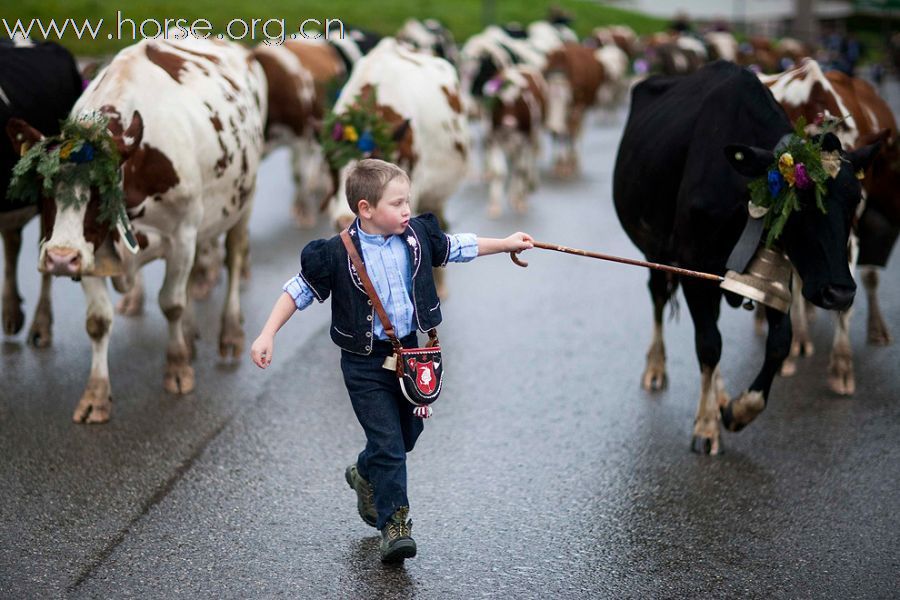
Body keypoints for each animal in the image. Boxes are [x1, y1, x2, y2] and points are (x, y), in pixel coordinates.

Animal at [612, 61, 880, 454]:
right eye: (798, 204)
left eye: (855, 199)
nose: (840, 293)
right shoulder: (692, 263)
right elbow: (709, 345)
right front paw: (706, 427)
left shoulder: (773, 275)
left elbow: (779, 343)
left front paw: (737, 410)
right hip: (653, 249)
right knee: (660, 298)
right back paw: (656, 369)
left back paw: (721, 395)